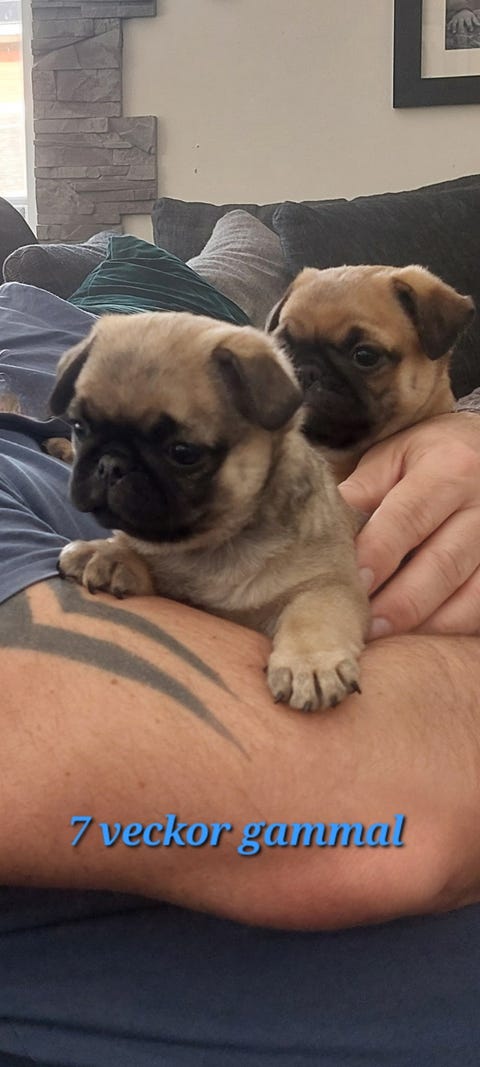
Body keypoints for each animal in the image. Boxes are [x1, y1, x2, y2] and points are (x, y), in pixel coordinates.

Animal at [49, 311, 369, 712]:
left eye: (183, 452)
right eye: (80, 427)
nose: (111, 464)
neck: (210, 546)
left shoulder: (329, 584)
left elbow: (313, 614)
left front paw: (310, 663)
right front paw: (108, 555)